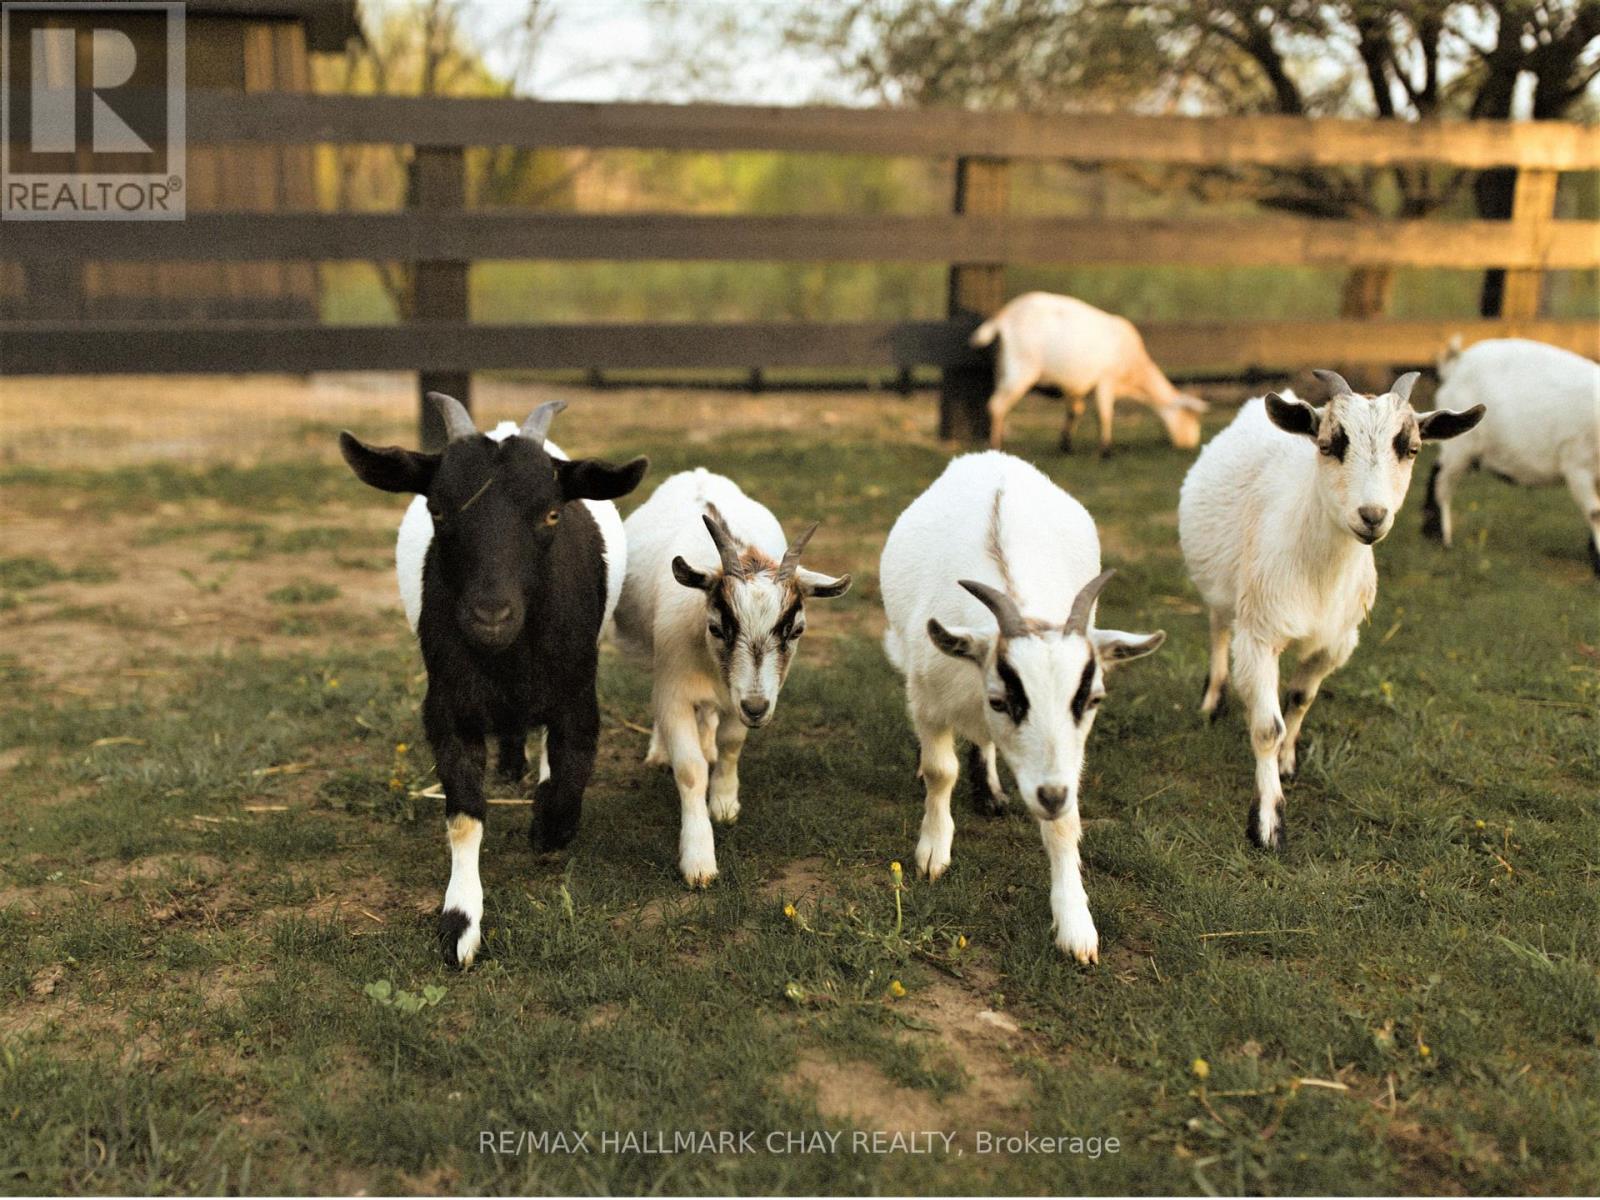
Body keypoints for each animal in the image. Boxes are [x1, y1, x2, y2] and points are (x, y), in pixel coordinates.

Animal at [608, 467, 851, 883]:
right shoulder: (675, 691)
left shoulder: (741, 697)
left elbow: (732, 743)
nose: (756, 709)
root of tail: (699, 473)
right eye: (717, 627)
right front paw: (699, 860)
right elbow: (689, 770)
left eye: (796, 630)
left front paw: (723, 803)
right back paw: (659, 751)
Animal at [889, 454, 1164, 966]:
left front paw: (1076, 927)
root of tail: (990, 458)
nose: (1051, 796)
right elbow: (940, 771)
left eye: (1092, 699)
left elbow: (1065, 825)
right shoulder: (928, 702)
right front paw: (933, 852)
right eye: (1001, 699)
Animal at [960, 294, 1209, 457]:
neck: (1135, 375)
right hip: (1020, 371)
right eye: (1191, 417)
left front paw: (1066, 446)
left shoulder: (1076, 388)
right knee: (997, 405)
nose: (1191, 445)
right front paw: (1106, 452)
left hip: (1002, 368)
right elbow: (1104, 414)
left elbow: (1075, 412)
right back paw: (996, 446)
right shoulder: (1106, 381)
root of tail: (1002, 318)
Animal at [1184, 371, 1478, 851]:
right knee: (1217, 630)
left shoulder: (1337, 642)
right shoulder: (1259, 634)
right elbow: (1267, 726)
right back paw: (1211, 702)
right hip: (1221, 589)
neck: (1319, 575)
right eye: (1328, 445)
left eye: (1411, 448)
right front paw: (1268, 823)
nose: (1372, 515)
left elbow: (1300, 699)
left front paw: (1288, 762)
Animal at [1427, 336, 1600, 579]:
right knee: (1441, 482)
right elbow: (1595, 514)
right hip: (1459, 444)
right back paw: (1442, 540)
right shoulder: (1577, 466)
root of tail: (1457, 363)